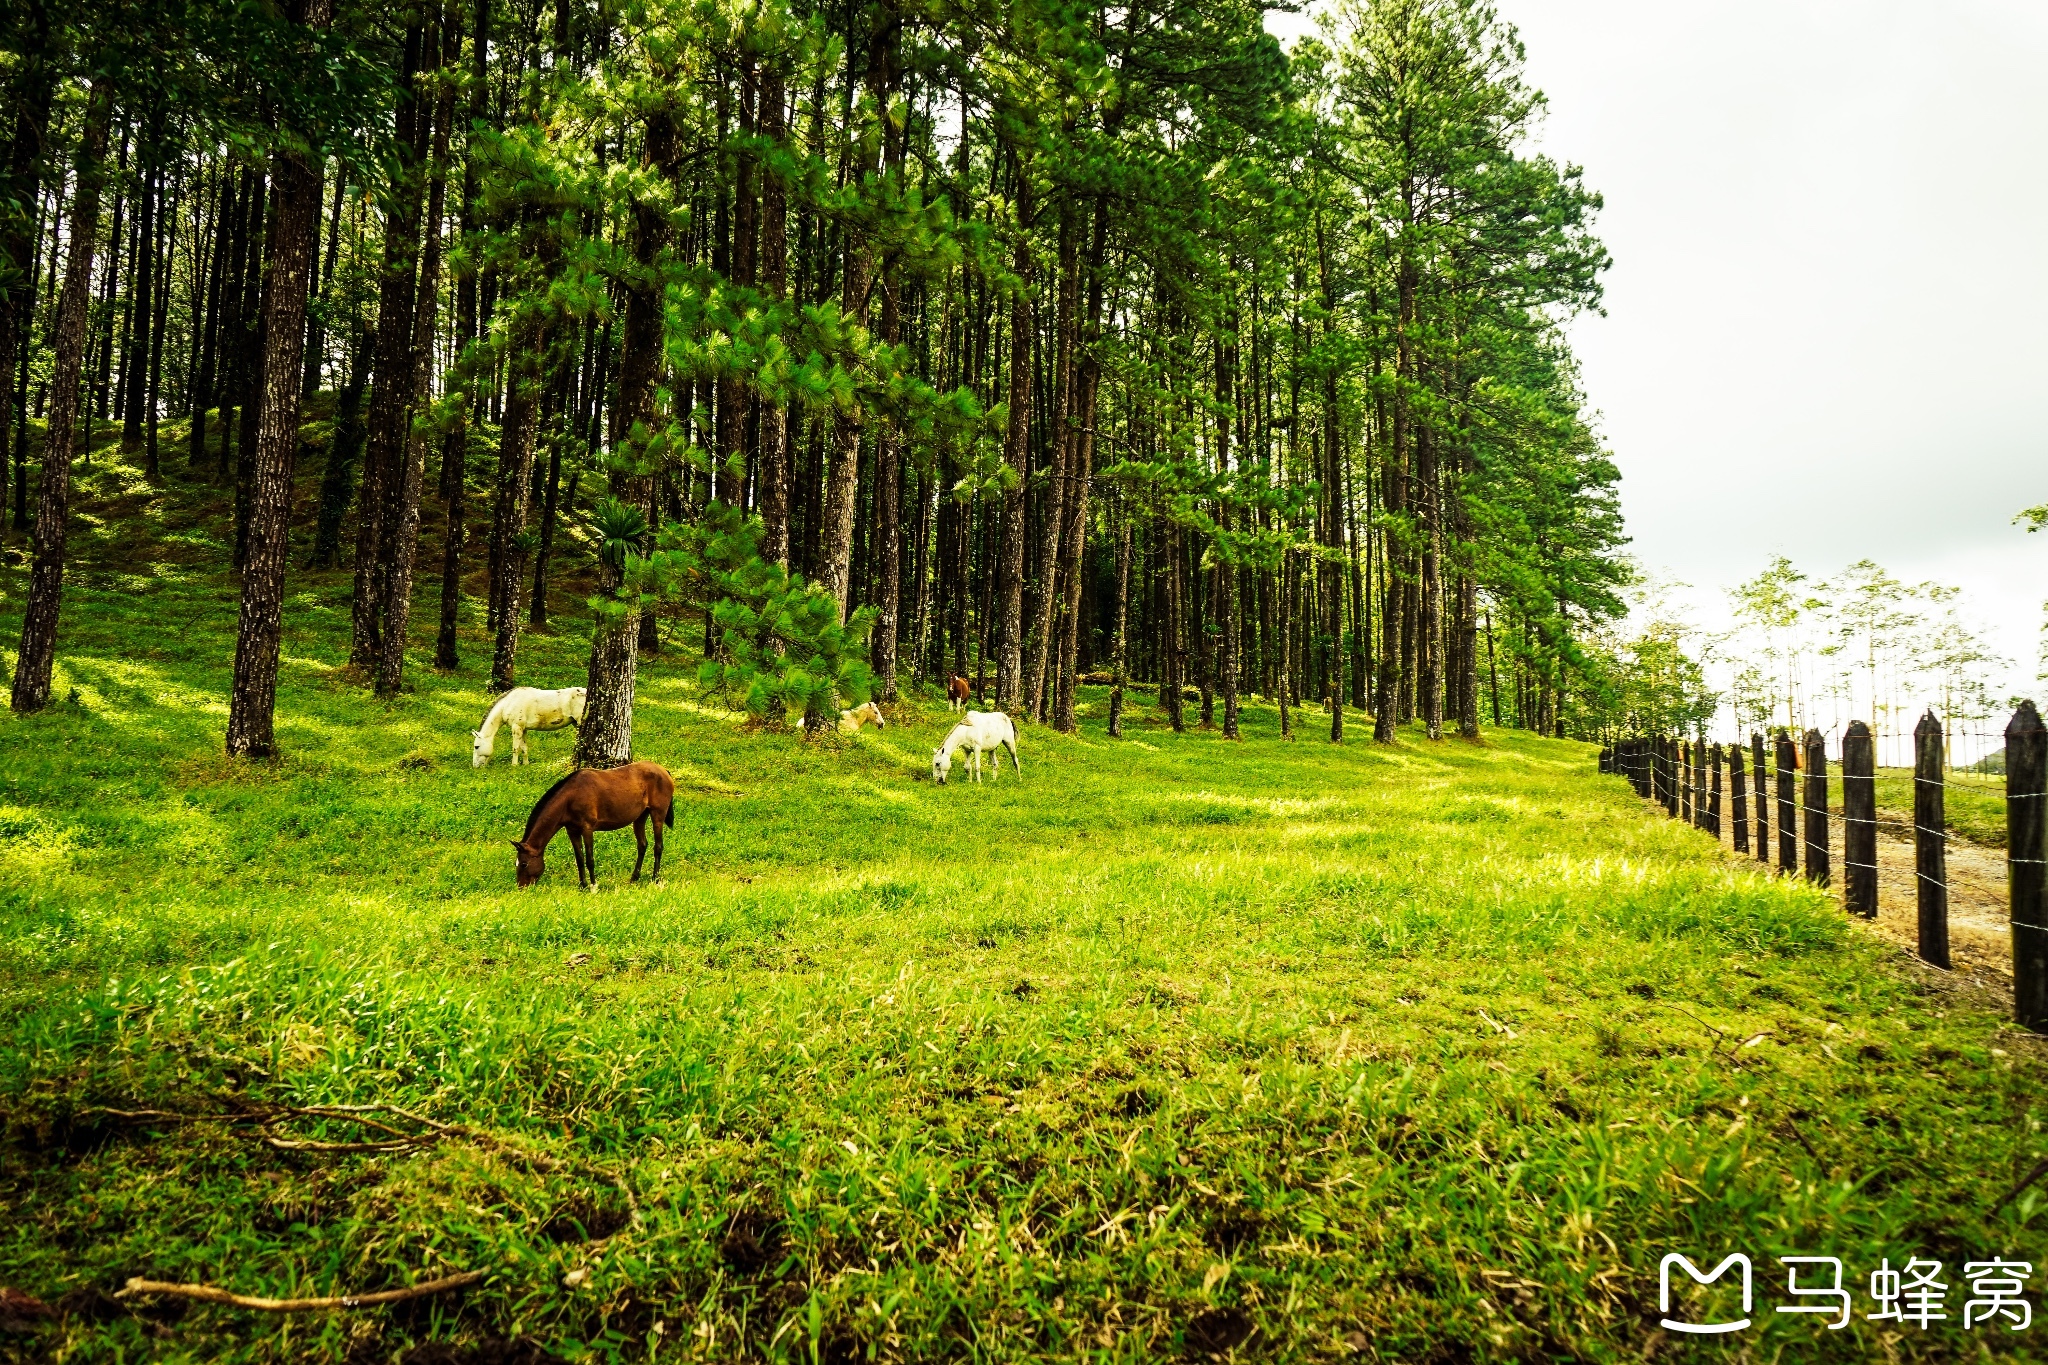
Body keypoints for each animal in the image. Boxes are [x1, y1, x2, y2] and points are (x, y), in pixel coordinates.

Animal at [509, 765, 675, 892]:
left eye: (523, 864)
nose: (521, 888)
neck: (570, 798)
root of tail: (664, 771)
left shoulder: (587, 829)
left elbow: (590, 859)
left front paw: (593, 886)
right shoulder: (572, 831)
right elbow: (579, 859)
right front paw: (582, 885)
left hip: (657, 815)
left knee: (658, 846)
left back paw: (655, 878)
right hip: (640, 817)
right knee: (642, 845)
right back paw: (634, 878)